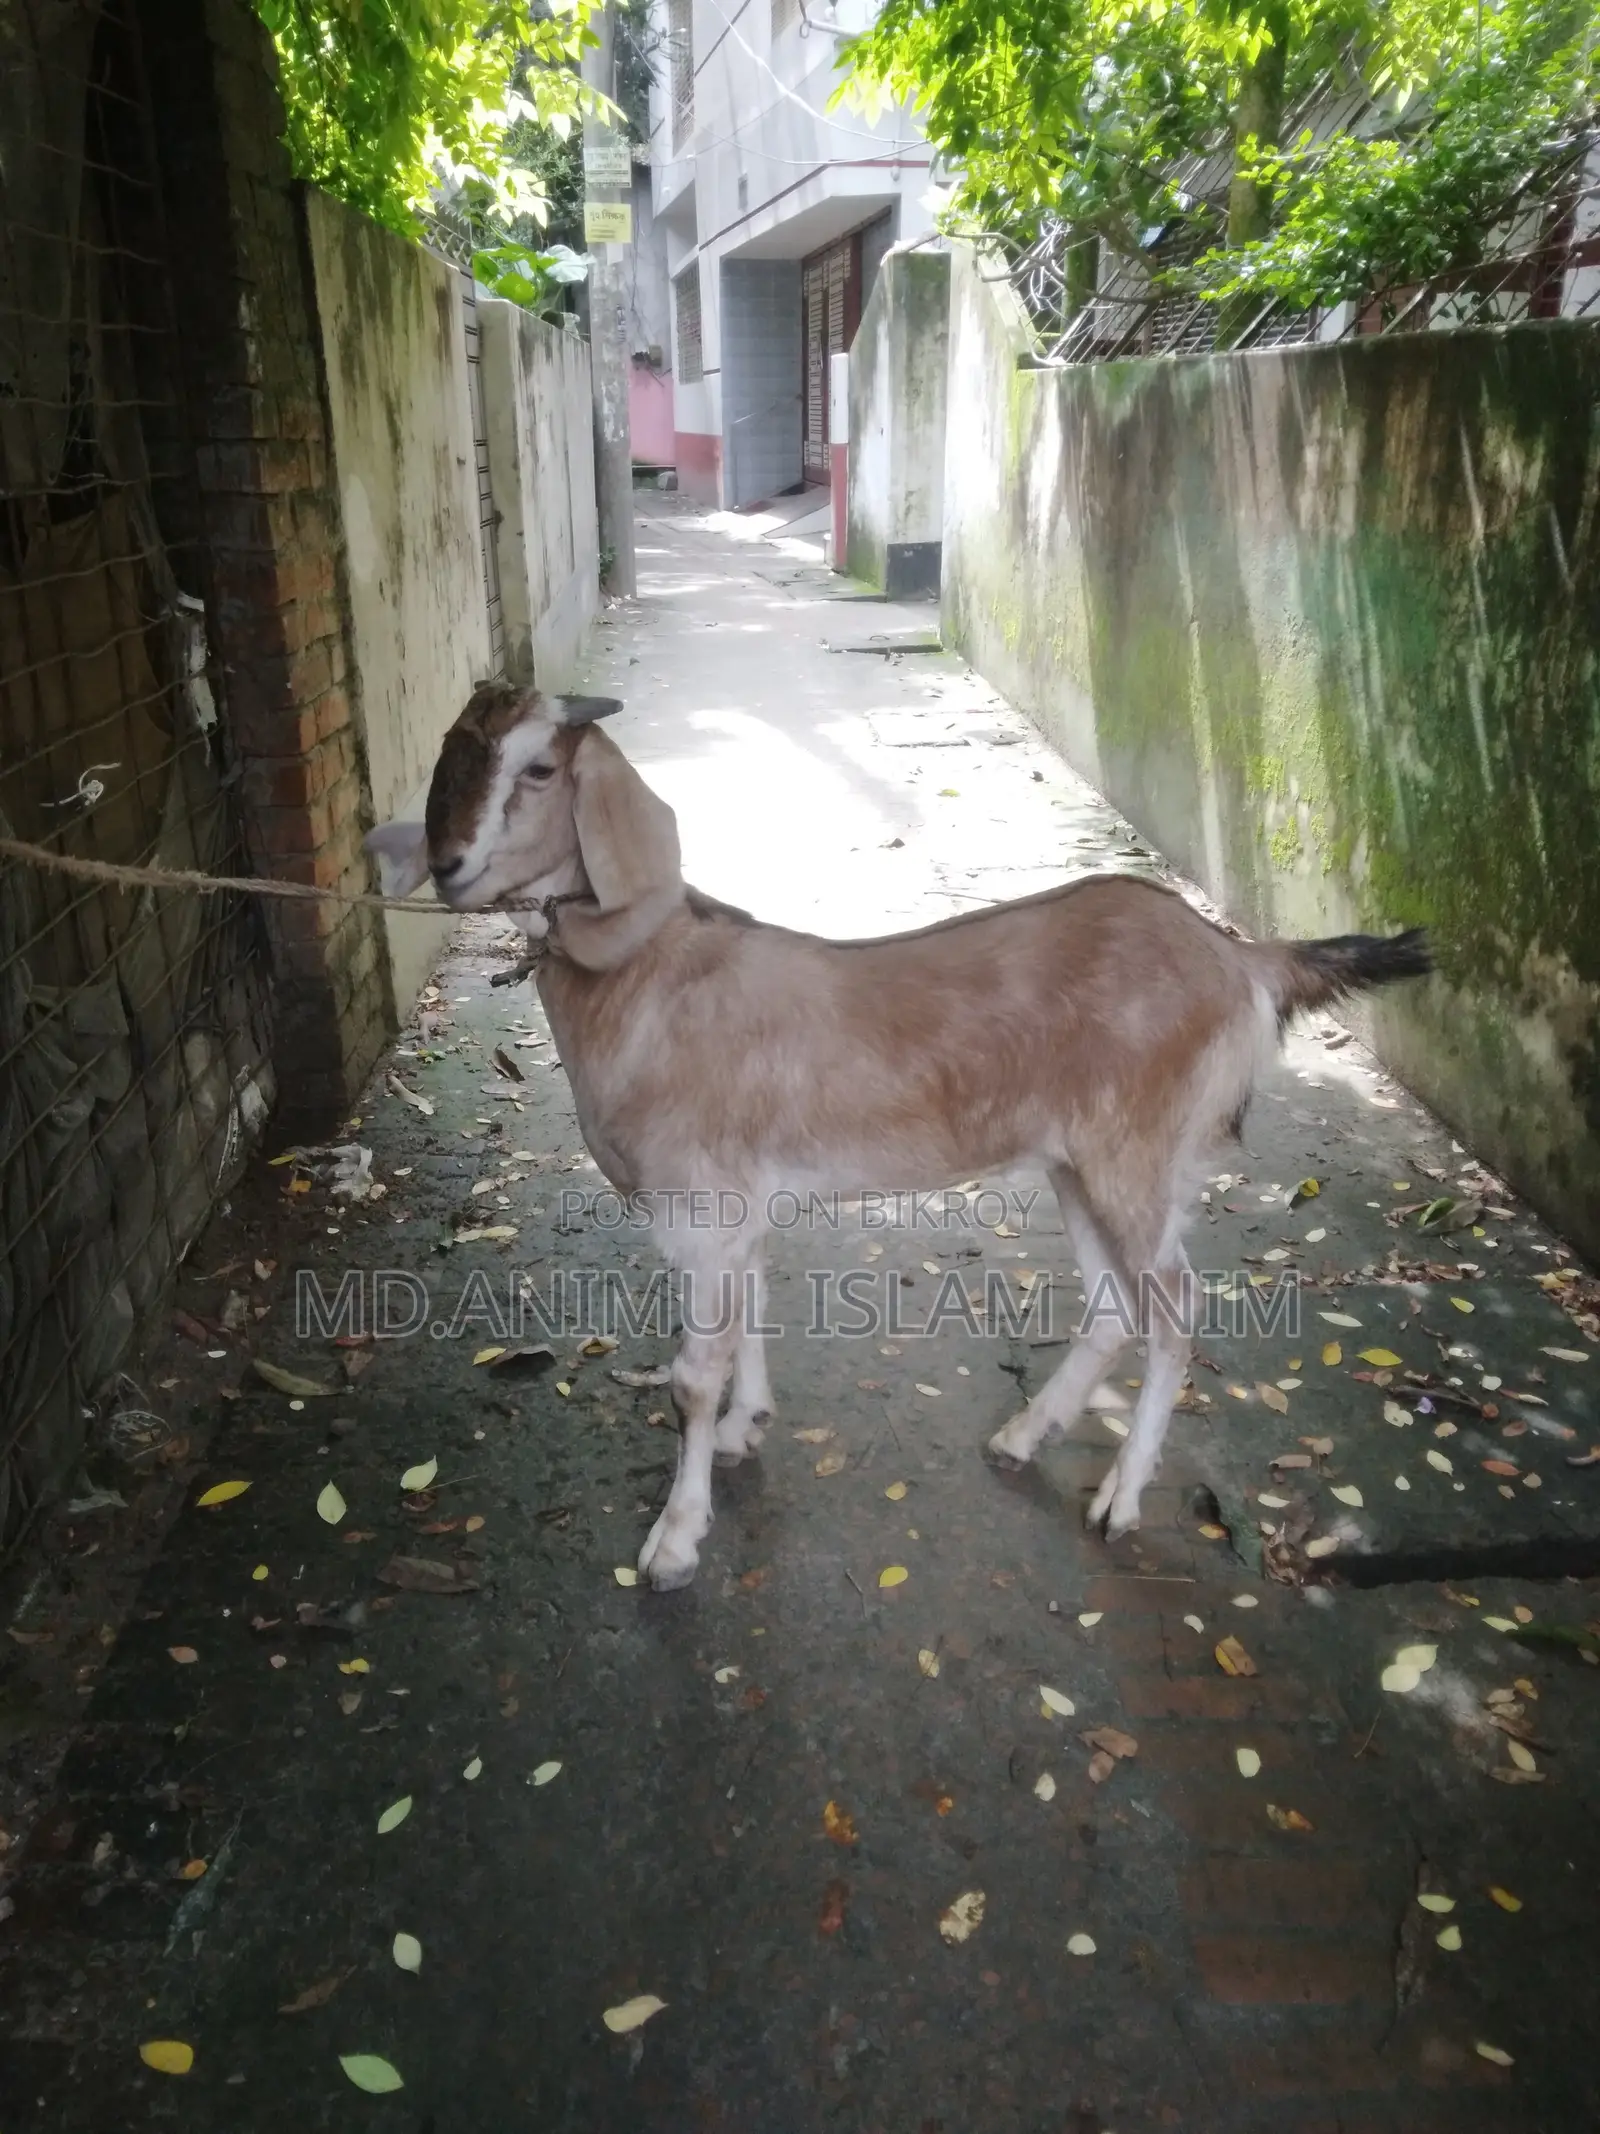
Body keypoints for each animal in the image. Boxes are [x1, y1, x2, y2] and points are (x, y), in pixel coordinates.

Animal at [368, 683, 1433, 1591]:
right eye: (455, 756)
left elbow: (692, 1377)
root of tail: (1241, 960)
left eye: (542, 769)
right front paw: (748, 1429)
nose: (451, 867)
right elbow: (750, 1317)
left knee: (1174, 1315)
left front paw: (675, 1538)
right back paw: (1024, 1437)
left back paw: (1120, 1499)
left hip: (1135, 1157)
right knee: (1114, 1308)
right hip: (1084, 1164)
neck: (653, 983)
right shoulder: (738, 1210)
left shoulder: (701, 1207)